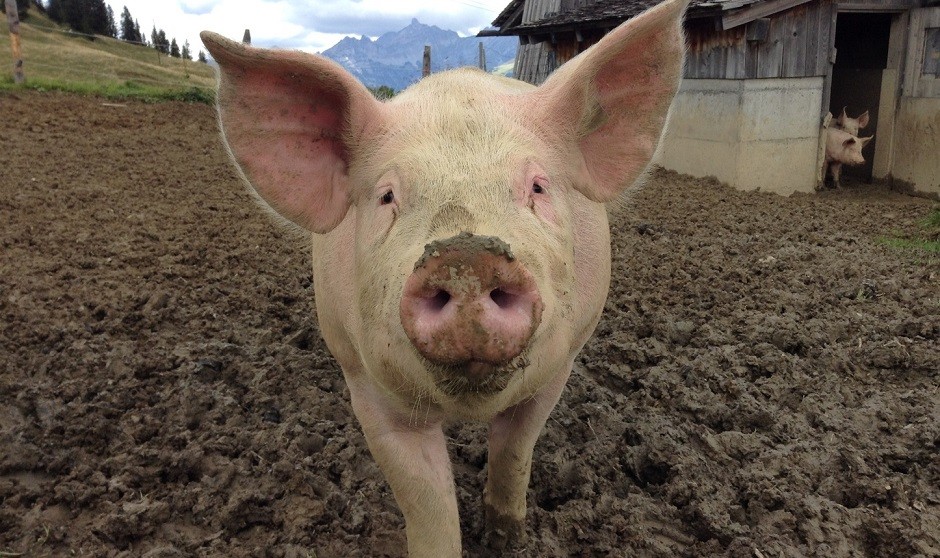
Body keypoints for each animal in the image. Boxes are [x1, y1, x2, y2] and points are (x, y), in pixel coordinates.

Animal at [200, 0, 686, 555]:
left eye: (538, 186)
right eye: (387, 196)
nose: (466, 255)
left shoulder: (560, 362)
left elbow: (515, 449)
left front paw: (505, 539)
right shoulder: (365, 381)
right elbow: (426, 502)